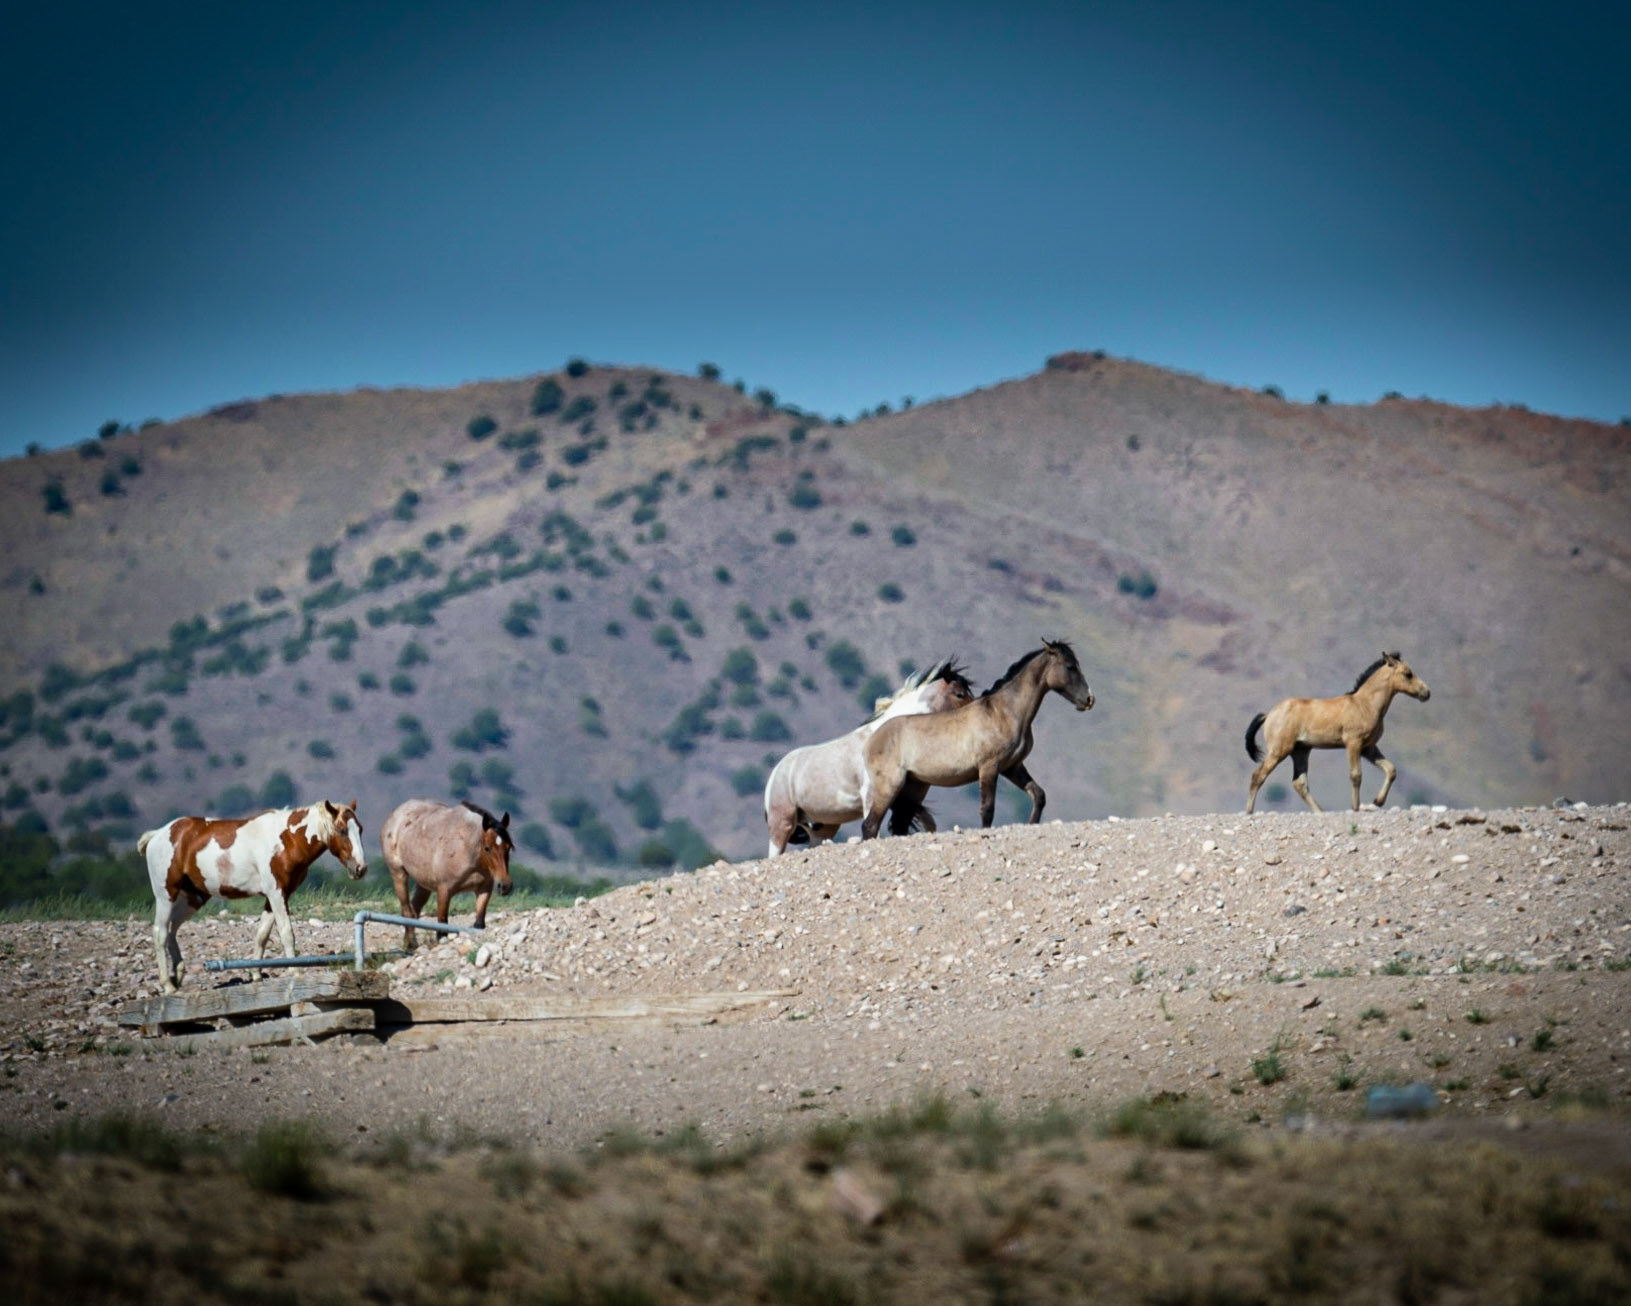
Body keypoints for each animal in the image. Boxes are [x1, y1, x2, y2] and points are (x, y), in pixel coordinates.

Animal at [138, 800, 367, 993]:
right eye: (342, 830)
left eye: (360, 829)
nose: (360, 869)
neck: (286, 840)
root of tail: (158, 834)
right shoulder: (276, 893)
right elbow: (286, 933)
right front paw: (295, 971)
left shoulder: (279, 896)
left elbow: (262, 934)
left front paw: (256, 974)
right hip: (166, 894)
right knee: (160, 932)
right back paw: (168, 985)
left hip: (193, 898)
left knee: (172, 929)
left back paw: (178, 974)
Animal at [381, 799, 514, 950]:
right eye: (487, 848)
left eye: (508, 847)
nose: (505, 885)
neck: (466, 847)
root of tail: (395, 813)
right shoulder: (444, 890)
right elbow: (442, 928)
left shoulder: (484, 890)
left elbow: (479, 924)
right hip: (399, 875)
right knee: (407, 911)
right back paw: (411, 944)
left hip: (423, 884)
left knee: (414, 910)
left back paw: (410, 943)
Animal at [762, 659, 973, 857]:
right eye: (959, 694)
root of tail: (777, 771)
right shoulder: (872, 798)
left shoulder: (906, 800)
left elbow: (926, 825)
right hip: (782, 824)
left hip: (823, 828)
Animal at [859, 640, 1094, 839]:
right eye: (1070, 667)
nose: (1089, 699)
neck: (1004, 713)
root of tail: (870, 741)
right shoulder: (989, 767)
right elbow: (987, 809)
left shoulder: (1013, 767)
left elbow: (1039, 795)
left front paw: (1031, 824)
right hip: (889, 787)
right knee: (870, 825)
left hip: (912, 790)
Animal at [1244, 651, 1431, 813]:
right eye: (1408, 673)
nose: (1426, 693)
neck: (1364, 705)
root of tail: (1269, 713)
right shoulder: (1353, 743)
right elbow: (1356, 775)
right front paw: (1355, 808)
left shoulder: (1369, 747)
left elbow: (1391, 769)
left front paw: (1377, 801)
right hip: (1279, 751)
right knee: (1258, 776)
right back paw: (1249, 811)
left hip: (1301, 751)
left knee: (1299, 783)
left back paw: (1320, 812)